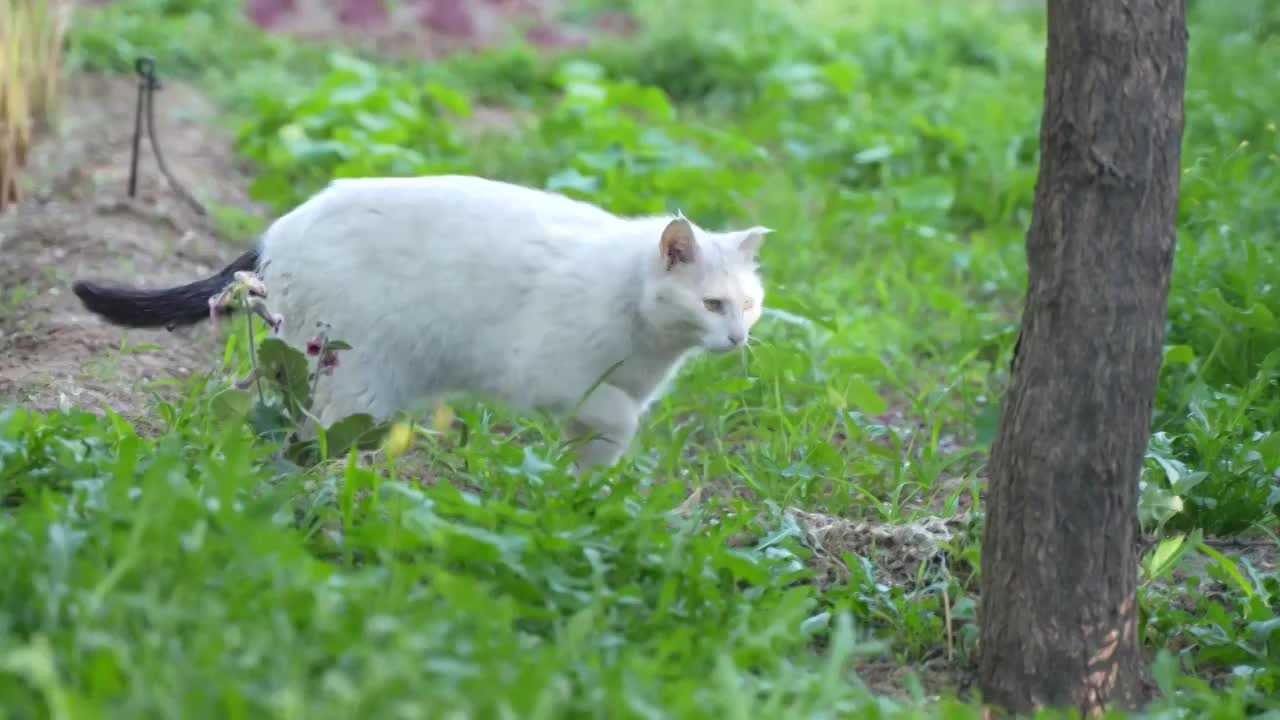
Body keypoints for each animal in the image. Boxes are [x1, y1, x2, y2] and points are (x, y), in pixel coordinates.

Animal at [72, 172, 768, 466]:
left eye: (749, 304)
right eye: (712, 303)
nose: (737, 338)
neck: (650, 338)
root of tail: (278, 230)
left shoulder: (596, 404)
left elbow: (598, 454)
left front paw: (583, 504)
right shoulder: (550, 377)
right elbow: (619, 415)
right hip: (360, 379)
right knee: (319, 439)